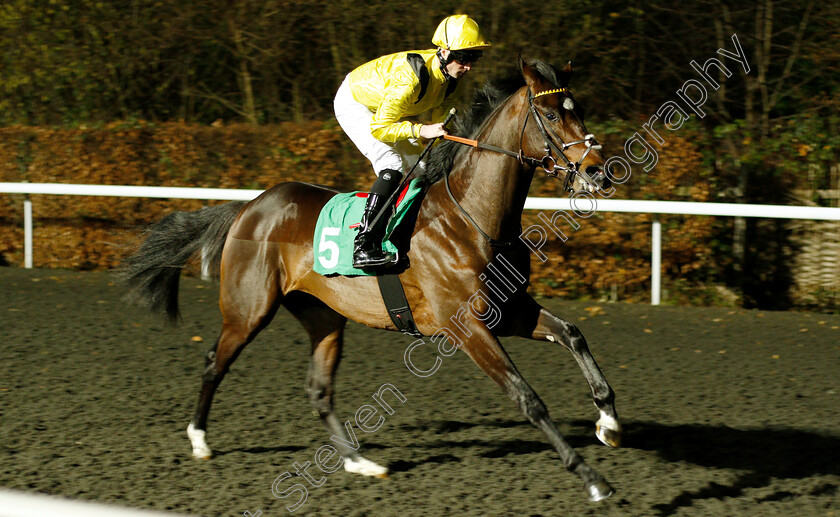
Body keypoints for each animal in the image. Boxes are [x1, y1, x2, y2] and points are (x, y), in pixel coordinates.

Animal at [121, 56, 620, 500]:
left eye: (579, 109)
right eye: (552, 114)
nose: (597, 170)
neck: (472, 215)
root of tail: (250, 206)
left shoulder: (509, 309)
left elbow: (573, 333)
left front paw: (608, 422)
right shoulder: (466, 326)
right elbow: (527, 397)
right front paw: (592, 478)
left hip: (323, 316)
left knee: (319, 390)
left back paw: (358, 461)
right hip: (248, 309)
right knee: (214, 362)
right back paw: (199, 439)